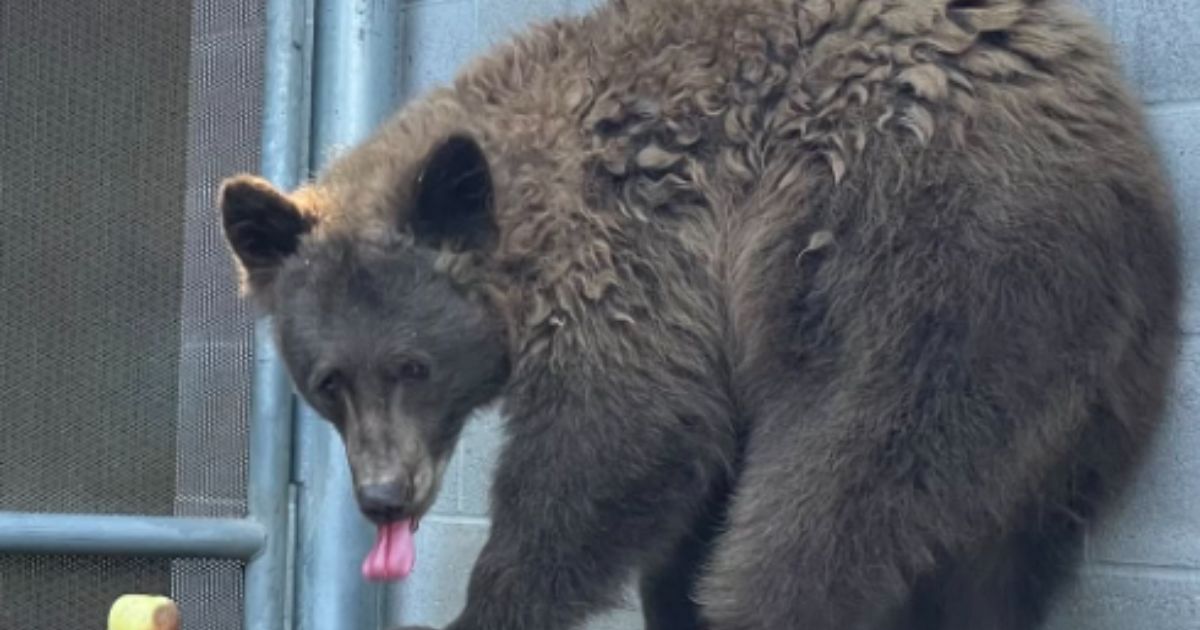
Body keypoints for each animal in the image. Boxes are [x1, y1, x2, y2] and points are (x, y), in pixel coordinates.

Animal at [218, 0, 1182, 628]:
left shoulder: (637, 261)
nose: (382, 497)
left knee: (841, 484)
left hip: (914, 258)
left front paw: (493, 603)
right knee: (997, 548)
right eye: (327, 381)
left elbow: (619, 442)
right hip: (1080, 392)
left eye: (412, 365)